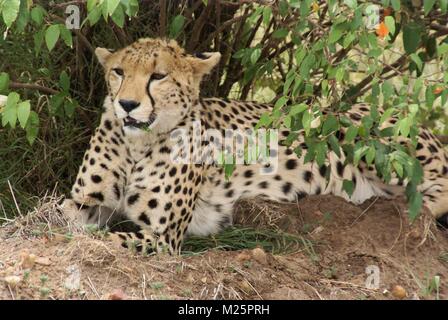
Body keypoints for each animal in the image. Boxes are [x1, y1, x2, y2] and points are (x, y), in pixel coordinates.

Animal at [62, 37, 448, 254]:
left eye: (158, 76)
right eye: (118, 72)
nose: (126, 105)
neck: (138, 144)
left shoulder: (163, 235)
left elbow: (109, 239)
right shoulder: (83, 202)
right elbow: (57, 218)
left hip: (356, 131)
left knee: (435, 188)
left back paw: (403, 210)